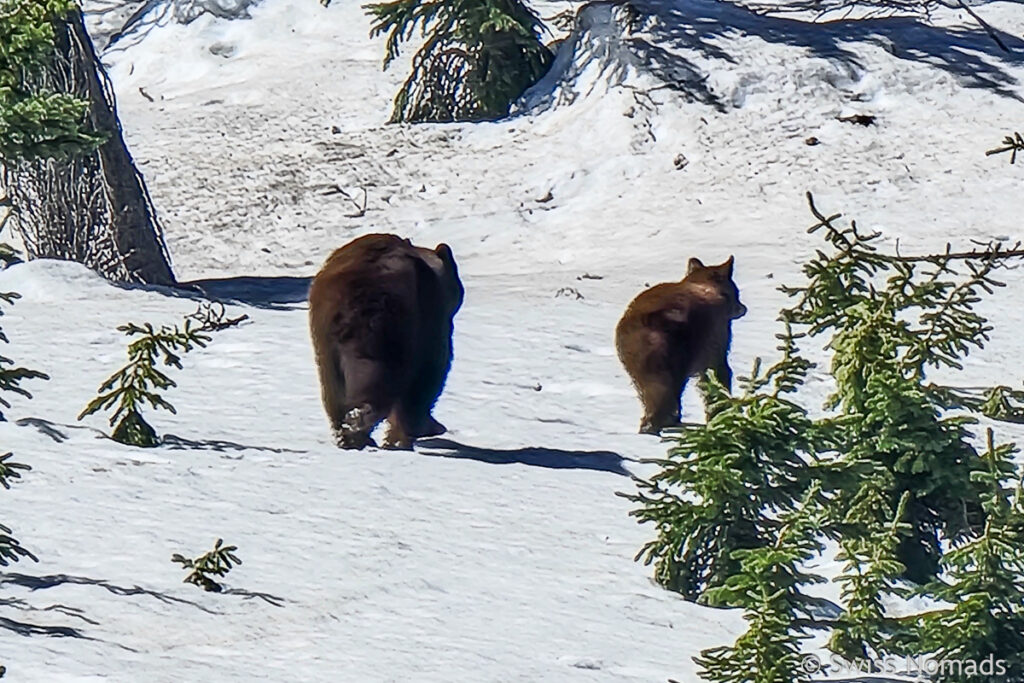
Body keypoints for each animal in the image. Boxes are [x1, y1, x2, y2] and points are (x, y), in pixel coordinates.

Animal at [305, 232, 462, 450]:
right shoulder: (432, 319)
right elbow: (430, 372)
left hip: (325, 335)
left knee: (332, 387)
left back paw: (348, 431)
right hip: (394, 325)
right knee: (385, 373)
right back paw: (361, 423)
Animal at [610, 255, 749, 432]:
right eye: (736, 292)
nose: (743, 308)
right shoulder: (715, 340)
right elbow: (717, 374)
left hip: (636, 354)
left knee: (653, 389)